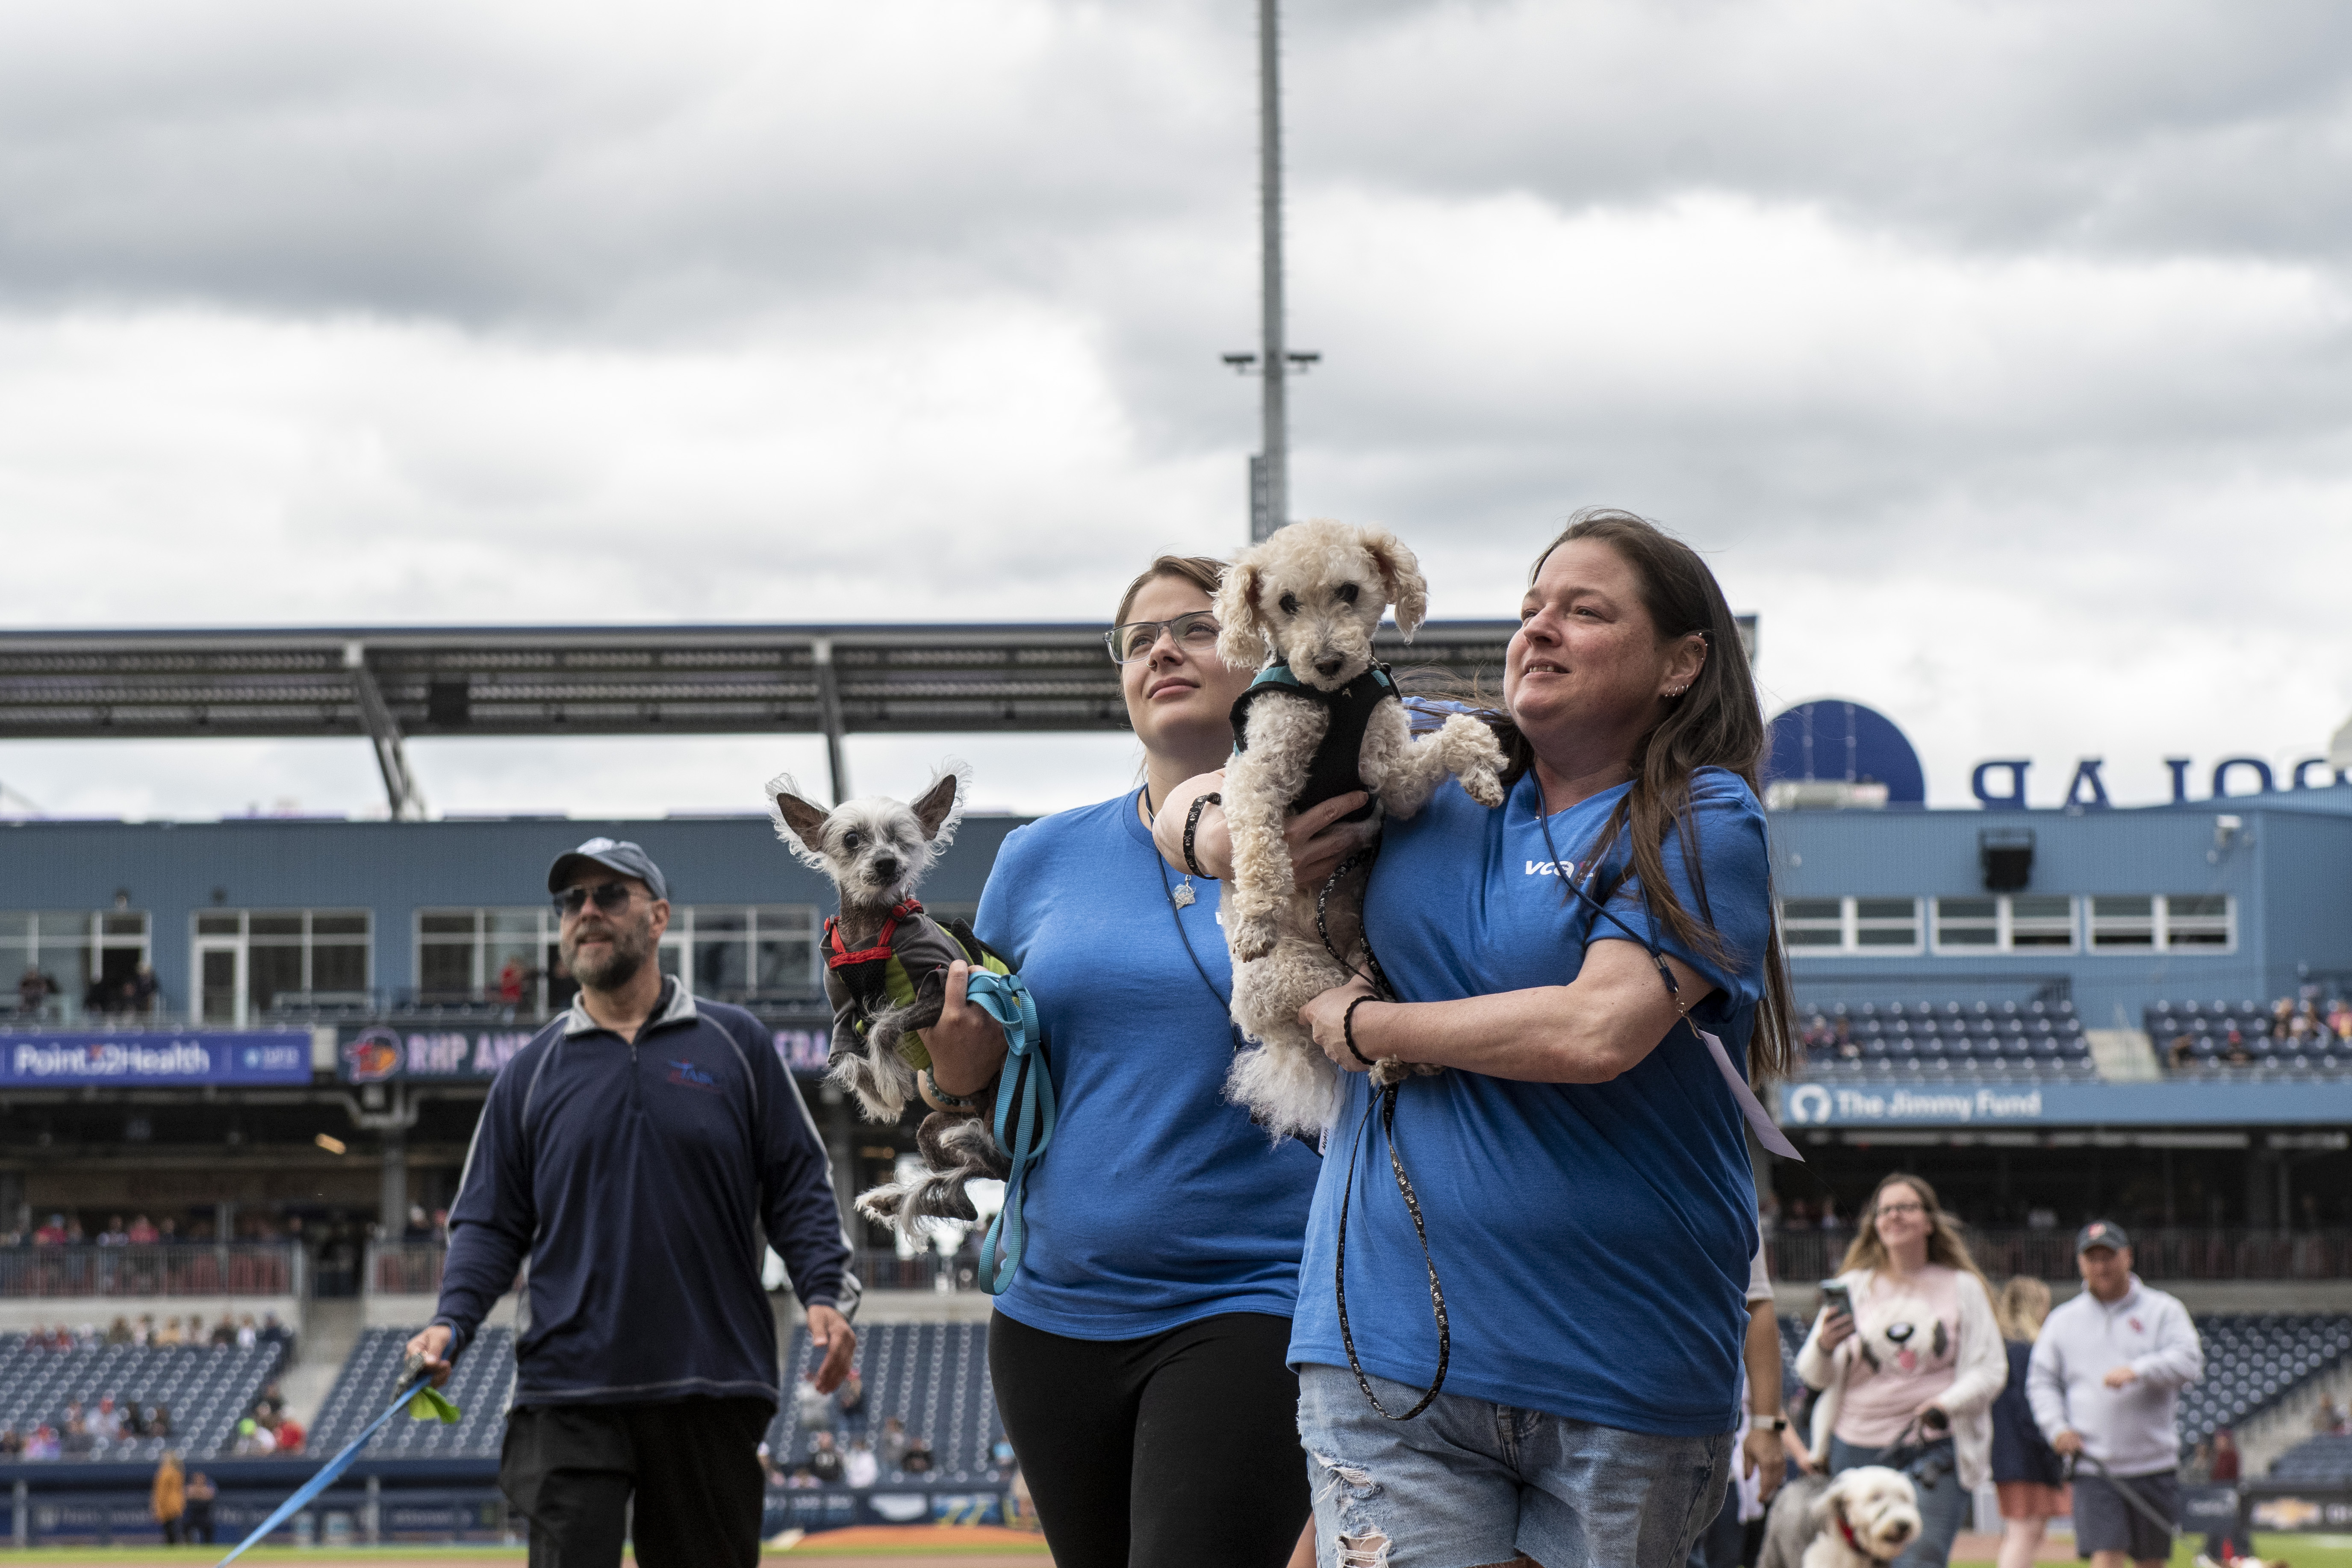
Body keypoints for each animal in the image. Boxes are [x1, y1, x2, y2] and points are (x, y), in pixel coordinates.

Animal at [762, 761, 1002, 1241]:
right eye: (853, 839)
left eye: (901, 838)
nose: (888, 862)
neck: (870, 932)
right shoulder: (841, 1010)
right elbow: (846, 1055)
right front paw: (875, 1089)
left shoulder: (946, 987)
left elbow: (885, 1025)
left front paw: (889, 1081)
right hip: (936, 1126)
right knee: (968, 1195)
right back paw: (900, 1197)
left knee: (991, 1170)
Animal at [1214, 522, 1505, 1133]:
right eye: (1286, 603)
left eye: (1348, 591)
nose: (1327, 660)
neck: (1336, 700)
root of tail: (1275, 1037)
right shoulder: (1256, 773)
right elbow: (1258, 847)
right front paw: (1257, 917)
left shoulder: (1390, 779)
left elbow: (1453, 738)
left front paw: (1484, 772)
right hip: (1304, 979)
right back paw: (1400, 1058)